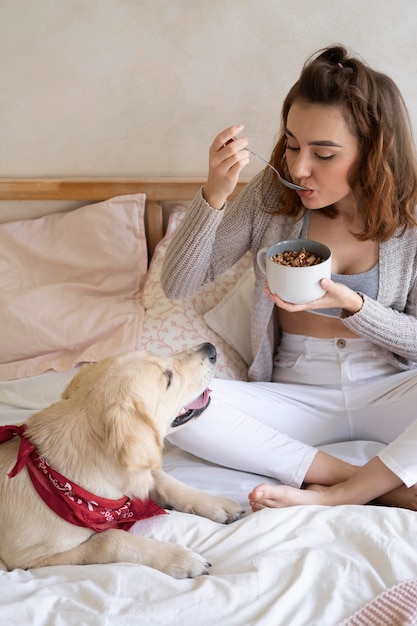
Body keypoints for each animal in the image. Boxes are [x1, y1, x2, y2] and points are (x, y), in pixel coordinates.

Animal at [0, 344, 244, 576]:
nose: (211, 348)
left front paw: (215, 503)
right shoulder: (30, 558)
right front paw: (178, 558)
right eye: (168, 379)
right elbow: (109, 539)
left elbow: (163, 480)